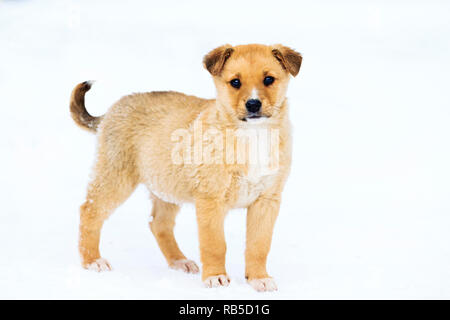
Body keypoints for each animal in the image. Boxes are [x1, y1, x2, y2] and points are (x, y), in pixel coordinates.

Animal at [70, 43, 302, 292]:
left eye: (269, 79)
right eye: (235, 82)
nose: (253, 104)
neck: (253, 134)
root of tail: (109, 113)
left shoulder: (267, 201)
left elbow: (259, 245)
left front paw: (259, 279)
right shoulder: (211, 201)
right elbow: (215, 244)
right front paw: (216, 277)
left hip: (166, 186)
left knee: (158, 224)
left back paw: (179, 261)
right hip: (115, 177)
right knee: (89, 211)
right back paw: (92, 260)